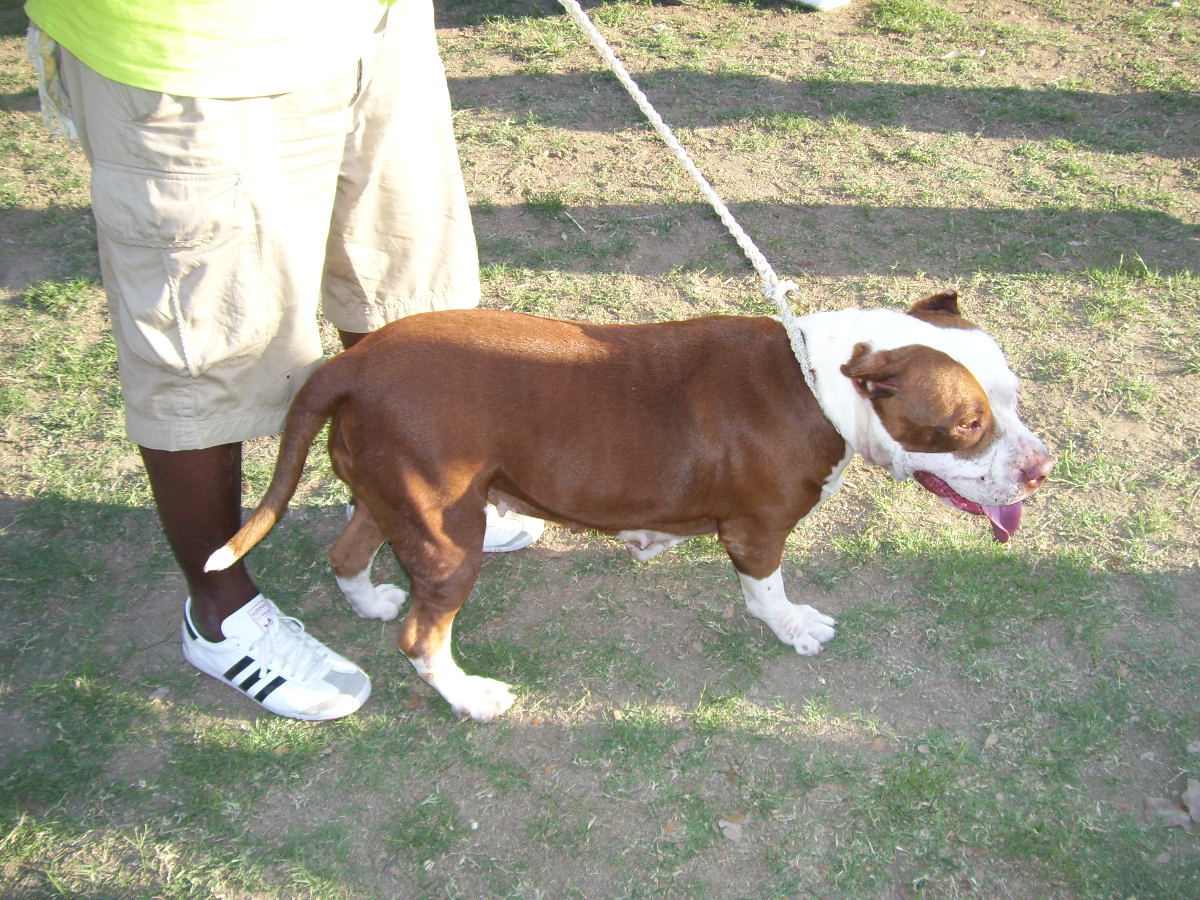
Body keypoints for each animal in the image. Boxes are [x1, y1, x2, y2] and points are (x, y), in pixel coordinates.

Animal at [207, 290, 1053, 721]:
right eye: (965, 425)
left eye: (1013, 393)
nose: (1043, 467)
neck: (818, 382)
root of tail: (346, 365)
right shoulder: (758, 529)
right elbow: (767, 589)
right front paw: (793, 626)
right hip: (449, 537)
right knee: (422, 636)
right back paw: (471, 696)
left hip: (394, 496)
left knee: (349, 551)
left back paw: (371, 599)